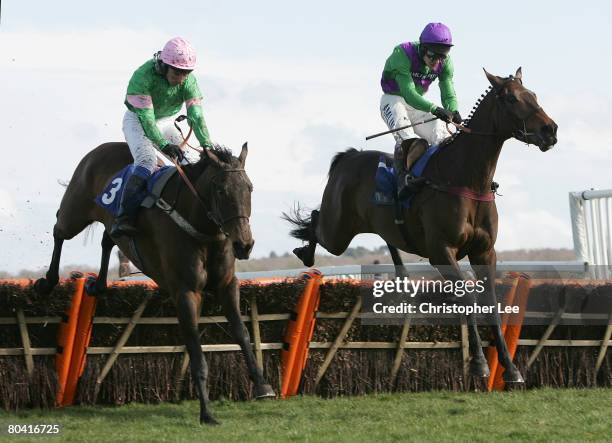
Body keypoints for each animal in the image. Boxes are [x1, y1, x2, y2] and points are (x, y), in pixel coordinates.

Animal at [32, 141, 272, 424]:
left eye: (249, 187)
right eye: (221, 190)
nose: (244, 245)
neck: (201, 229)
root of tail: (99, 148)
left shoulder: (227, 285)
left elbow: (242, 333)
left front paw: (262, 385)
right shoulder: (185, 292)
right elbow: (195, 349)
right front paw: (206, 412)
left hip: (108, 222)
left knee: (107, 238)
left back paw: (98, 285)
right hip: (76, 210)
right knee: (59, 229)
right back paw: (47, 282)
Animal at [284, 68, 556, 386]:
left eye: (533, 95)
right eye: (511, 98)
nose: (550, 130)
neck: (465, 179)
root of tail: (349, 156)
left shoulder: (485, 252)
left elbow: (490, 301)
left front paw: (511, 369)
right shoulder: (441, 251)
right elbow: (468, 297)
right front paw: (478, 364)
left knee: (381, 236)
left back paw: (399, 270)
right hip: (337, 232)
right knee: (317, 221)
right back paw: (304, 252)